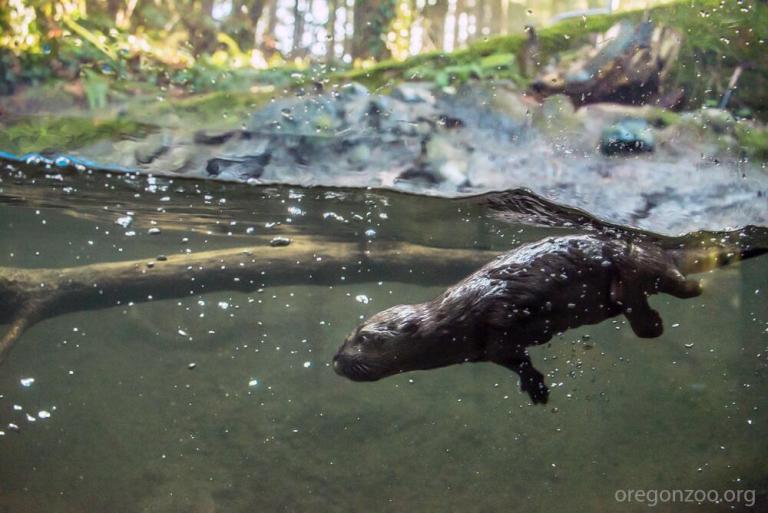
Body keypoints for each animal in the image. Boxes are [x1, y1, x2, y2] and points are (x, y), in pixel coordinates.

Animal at [332, 233, 764, 404]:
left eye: (363, 337)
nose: (335, 360)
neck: (457, 317)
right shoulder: (493, 349)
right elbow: (514, 359)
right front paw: (536, 387)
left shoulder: (495, 302)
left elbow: (518, 305)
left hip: (639, 261)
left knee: (676, 282)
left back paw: (663, 310)